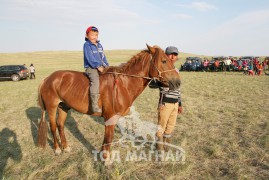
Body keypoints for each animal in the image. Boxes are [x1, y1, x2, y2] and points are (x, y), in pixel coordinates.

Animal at [37, 44, 180, 164]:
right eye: (164, 61)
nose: (178, 82)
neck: (123, 84)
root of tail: (47, 78)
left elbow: (107, 138)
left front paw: (103, 156)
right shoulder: (110, 117)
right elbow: (109, 137)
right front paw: (106, 160)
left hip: (63, 106)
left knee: (60, 125)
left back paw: (66, 147)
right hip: (52, 107)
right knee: (53, 126)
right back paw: (57, 149)